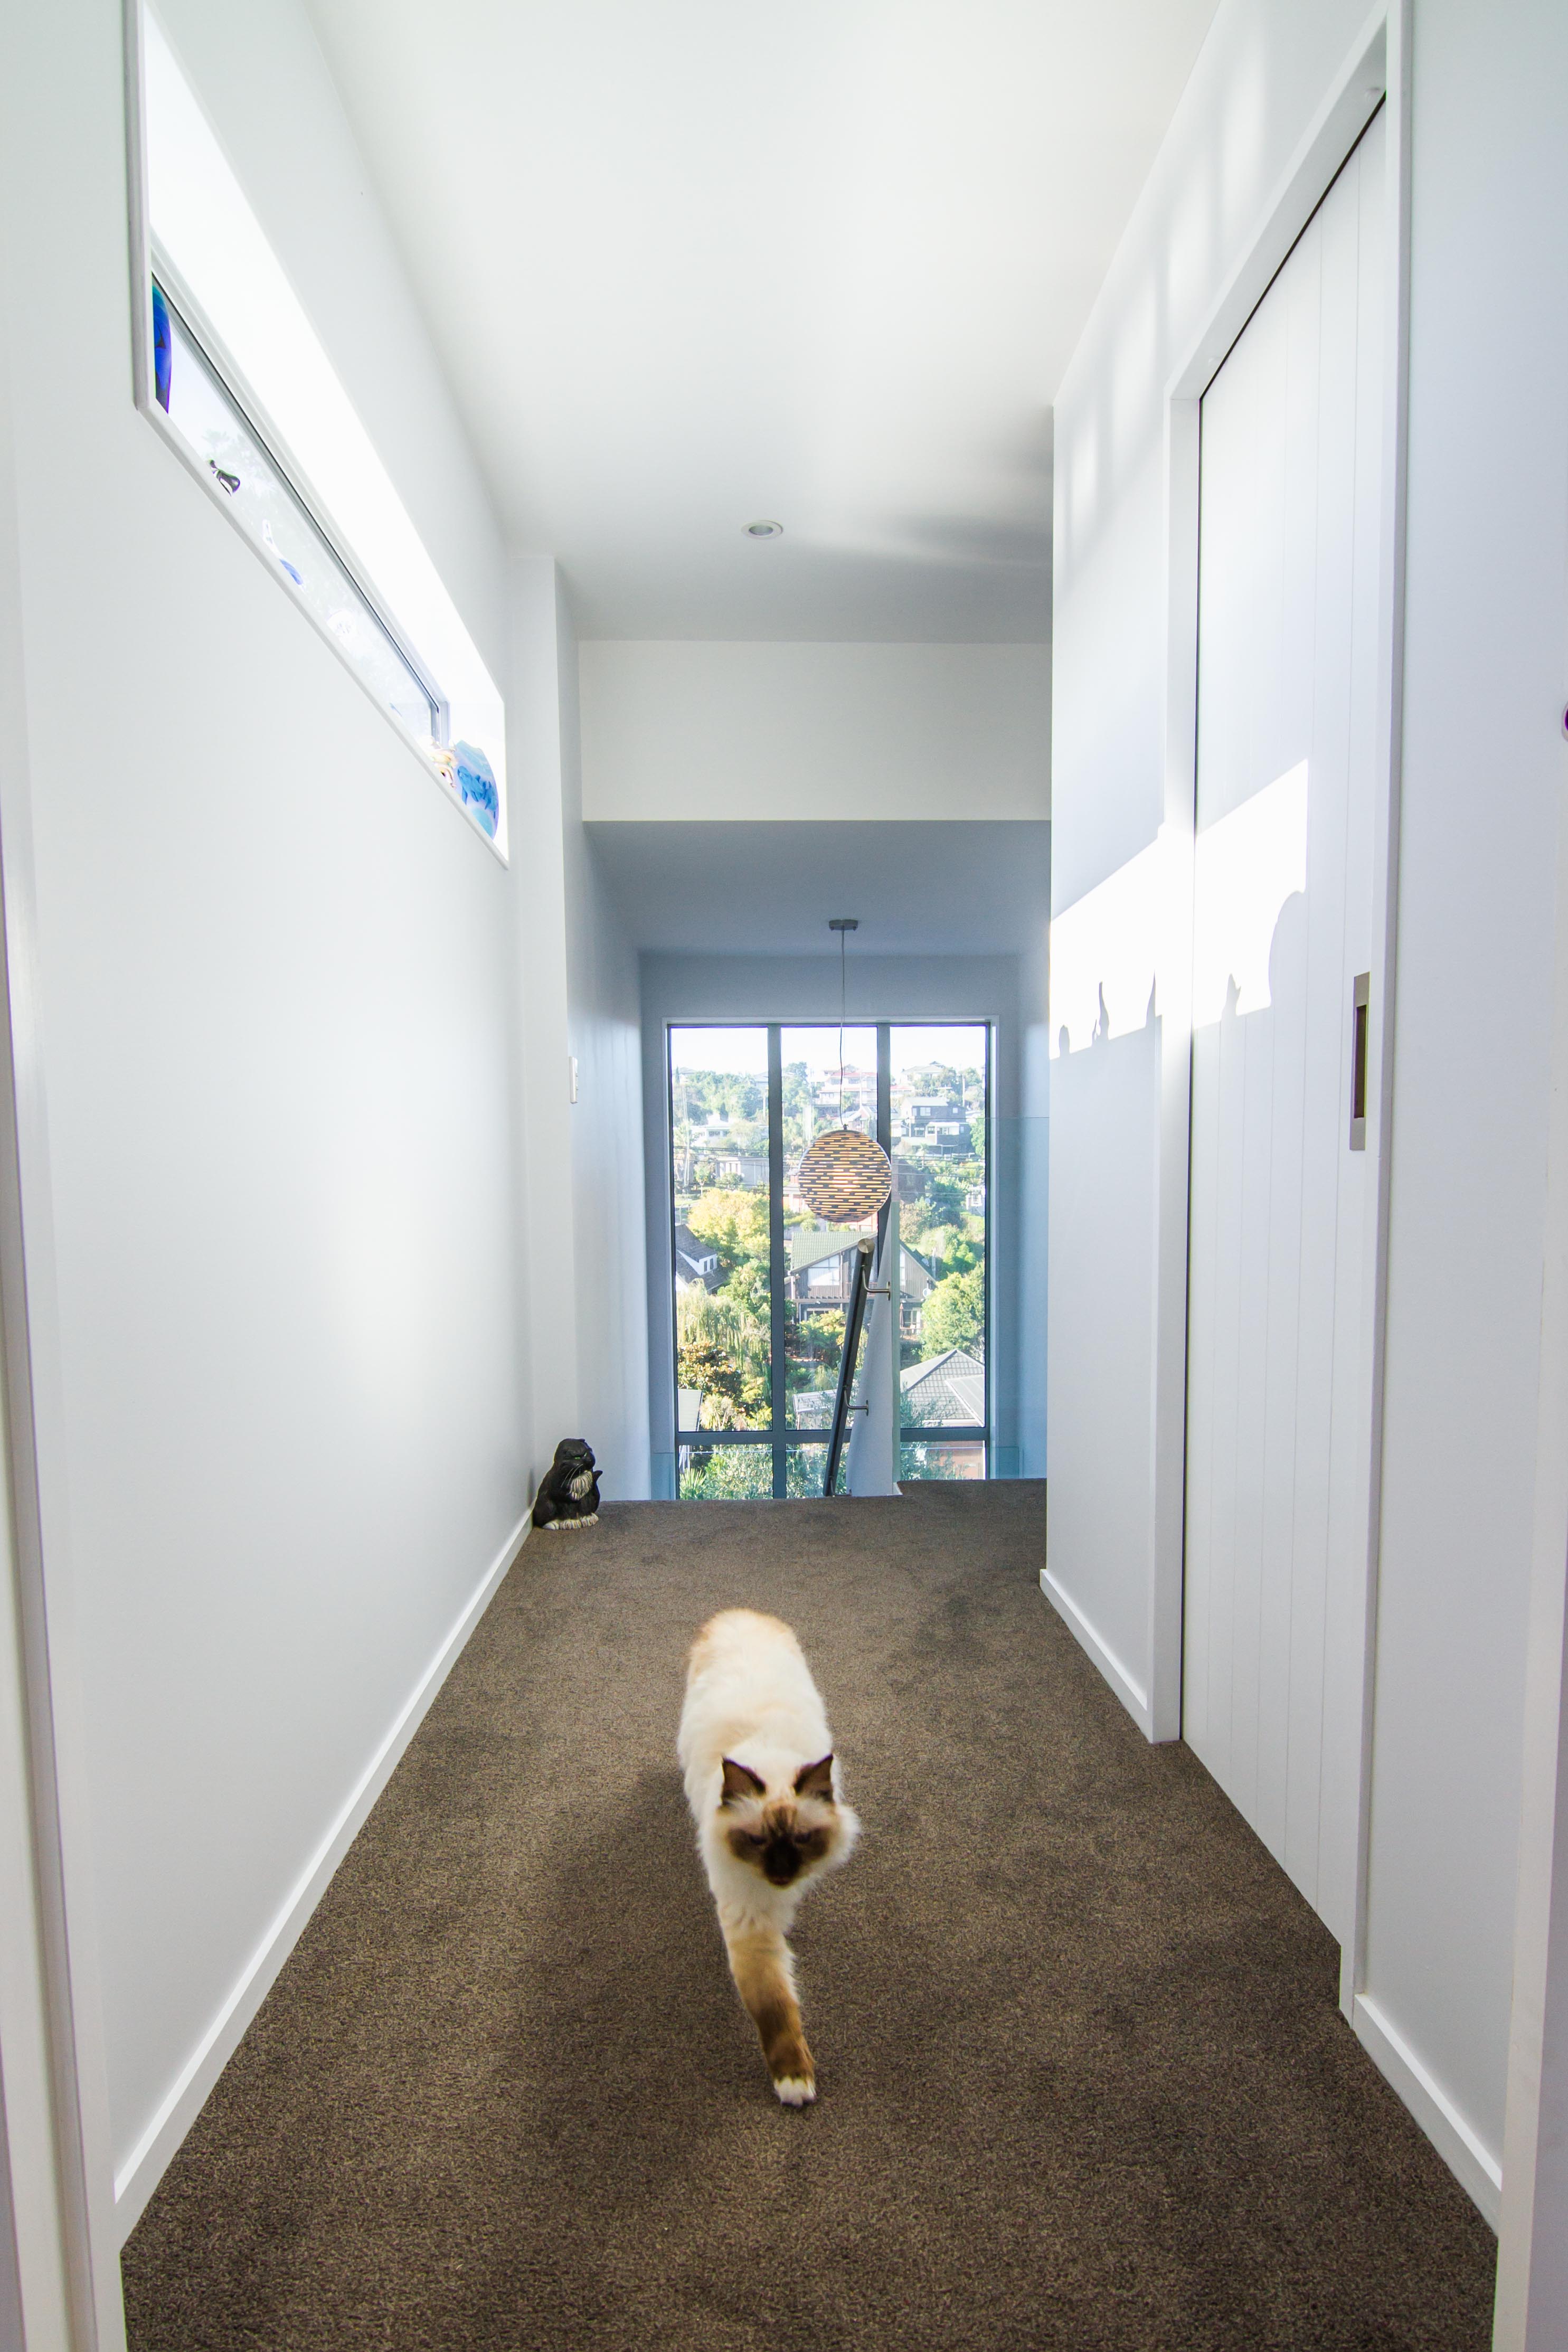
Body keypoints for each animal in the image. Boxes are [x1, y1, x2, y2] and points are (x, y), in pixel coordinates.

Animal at [682, 1609, 865, 2107]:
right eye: (758, 1841)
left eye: (802, 1839)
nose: (783, 1872)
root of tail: (738, 1612)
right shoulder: (750, 1918)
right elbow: (774, 2005)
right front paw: (794, 2081)